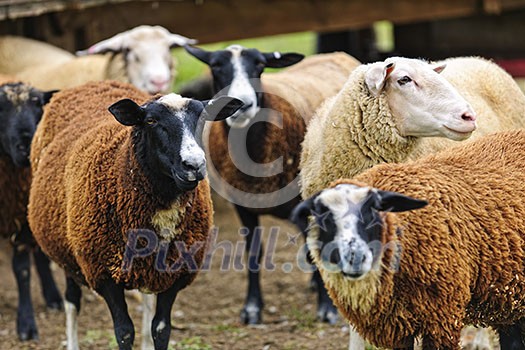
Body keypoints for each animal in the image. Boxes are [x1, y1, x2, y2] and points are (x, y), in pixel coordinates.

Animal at [27, 80, 244, 350]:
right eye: (150, 121)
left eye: (203, 117)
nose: (194, 165)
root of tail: (93, 83)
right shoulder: (104, 274)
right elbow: (123, 332)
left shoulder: (175, 273)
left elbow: (161, 329)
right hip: (66, 251)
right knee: (72, 301)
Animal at [184, 44, 360, 326]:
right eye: (216, 66)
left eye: (259, 65)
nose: (242, 104)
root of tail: (336, 53)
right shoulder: (244, 207)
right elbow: (253, 254)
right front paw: (252, 308)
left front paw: (327, 309)